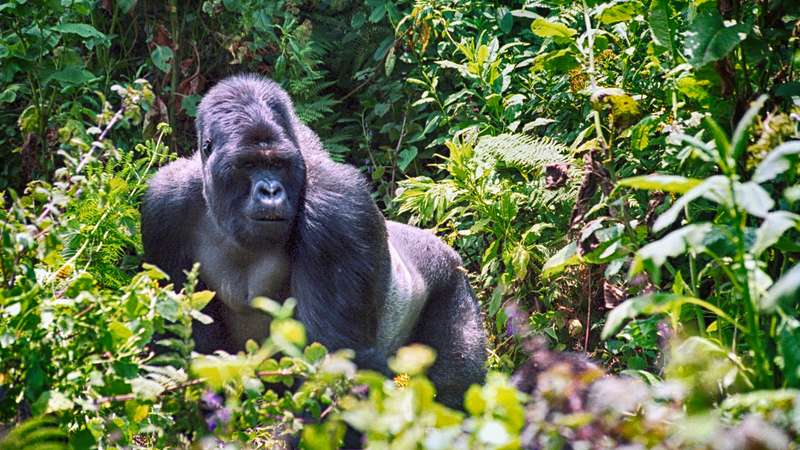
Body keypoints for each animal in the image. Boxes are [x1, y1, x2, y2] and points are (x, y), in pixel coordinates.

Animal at [140, 74, 486, 408]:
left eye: (277, 164)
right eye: (248, 164)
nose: (270, 191)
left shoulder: (336, 208)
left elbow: (335, 361)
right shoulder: (163, 205)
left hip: (452, 282)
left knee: (455, 392)